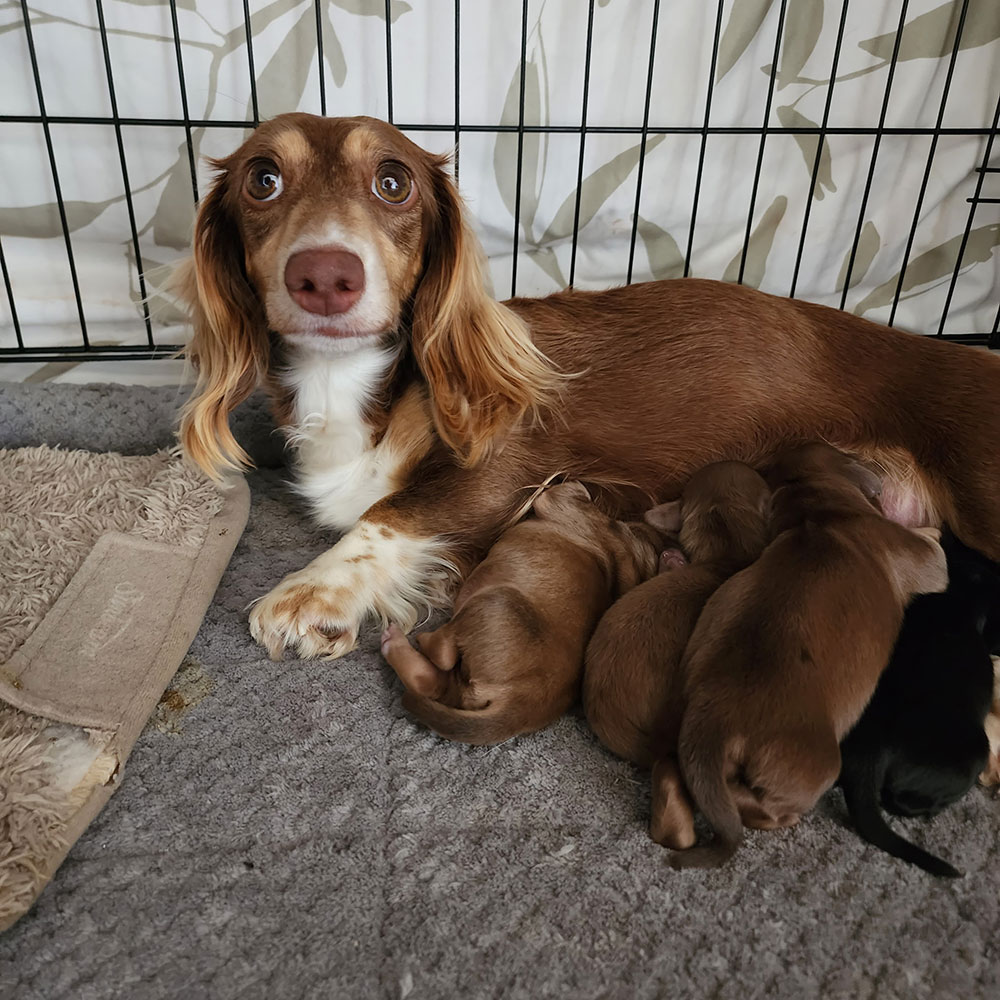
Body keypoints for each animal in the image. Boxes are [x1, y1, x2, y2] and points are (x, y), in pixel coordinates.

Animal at [178, 113, 1000, 660]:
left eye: (393, 181)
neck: (354, 386)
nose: (324, 276)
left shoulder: (502, 469)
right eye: (263, 179)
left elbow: (388, 513)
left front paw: (311, 591)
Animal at [672, 444, 944, 868]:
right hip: (817, 767)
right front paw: (933, 529)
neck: (817, 515)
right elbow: (936, 546)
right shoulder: (930, 562)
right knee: (762, 806)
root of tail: (712, 720)